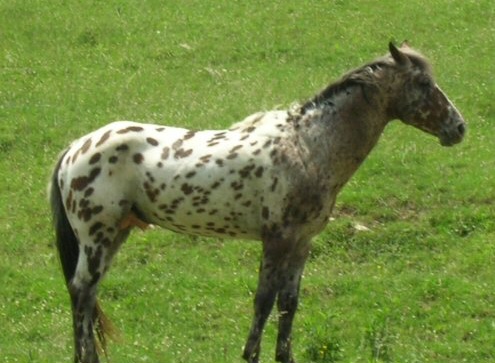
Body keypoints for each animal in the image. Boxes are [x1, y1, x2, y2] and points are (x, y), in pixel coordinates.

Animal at [49, 43, 464, 363]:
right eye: (423, 83)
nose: (459, 127)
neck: (308, 147)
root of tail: (75, 148)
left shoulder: (302, 242)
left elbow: (288, 303)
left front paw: (285, 356)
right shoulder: (277, 239)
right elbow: (263, 301)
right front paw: (251, 354)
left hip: (116, 235)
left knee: (89, 294)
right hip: (97, 238)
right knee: (81, 290)